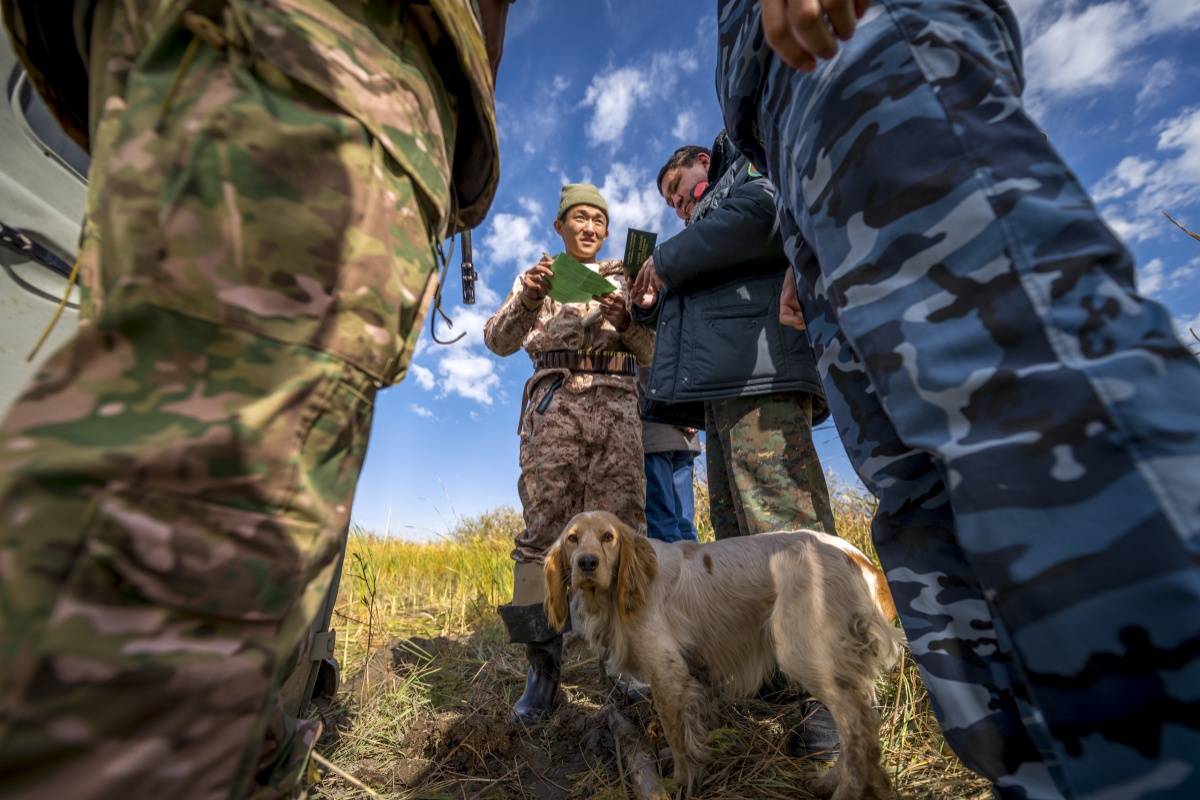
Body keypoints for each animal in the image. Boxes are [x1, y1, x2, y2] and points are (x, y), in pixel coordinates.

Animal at [544, 513, 902, 800]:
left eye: (608, 537)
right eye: (572, 539)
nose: (586, 563)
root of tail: (861, 560)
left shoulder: (667, 672)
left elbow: (677, 735)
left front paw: (681, 781)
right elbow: (692, 729)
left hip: (806, 652)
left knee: (857, 729)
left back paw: (845, 790)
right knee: (860, 727)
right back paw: (828, 781)